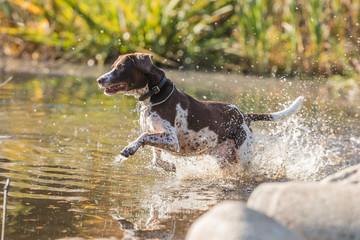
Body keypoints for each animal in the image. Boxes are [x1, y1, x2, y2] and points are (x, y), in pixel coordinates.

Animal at [96, 53, 304, 172]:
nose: (99, 79)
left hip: (243, 155)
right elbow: (156, 158)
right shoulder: (159, 137)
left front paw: (129, 148)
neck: (155, 95)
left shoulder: (171, 139)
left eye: (121, 67)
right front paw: (170, 167)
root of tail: (244, 115)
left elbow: (142, 137)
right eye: (113, 66)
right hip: (224, 158)